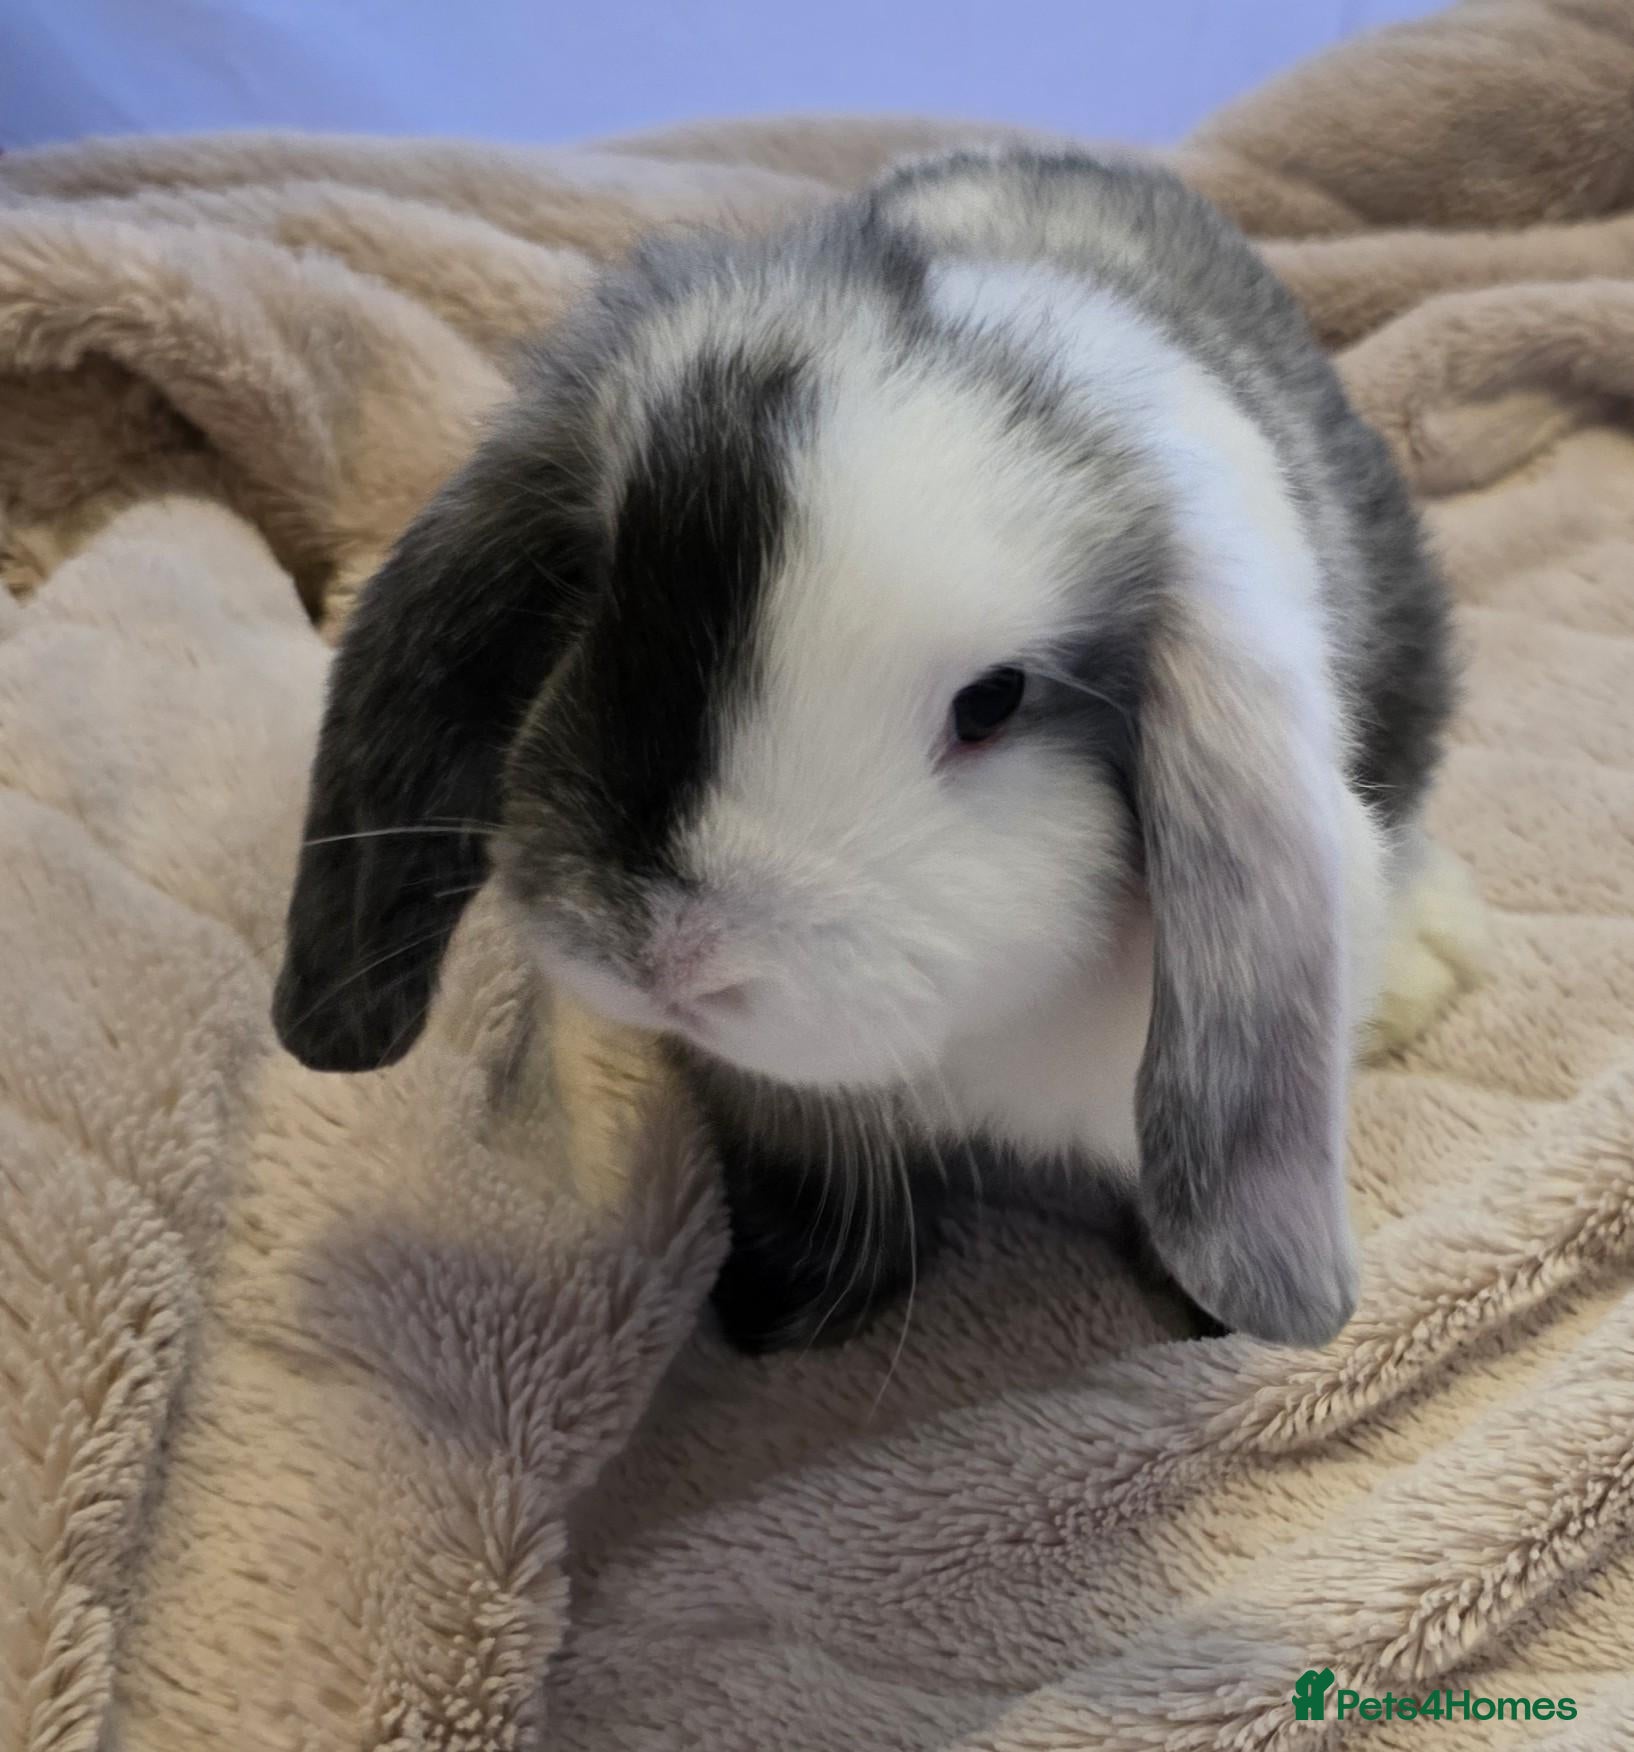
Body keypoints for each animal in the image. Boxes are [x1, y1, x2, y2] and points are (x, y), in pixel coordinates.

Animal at [272, 146, 1483, 1354]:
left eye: (992, 702)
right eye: (596, 595)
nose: (668, 957)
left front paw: (1207, 1319)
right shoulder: (775, 1098)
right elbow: (815, 1181)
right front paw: (783, 1306)